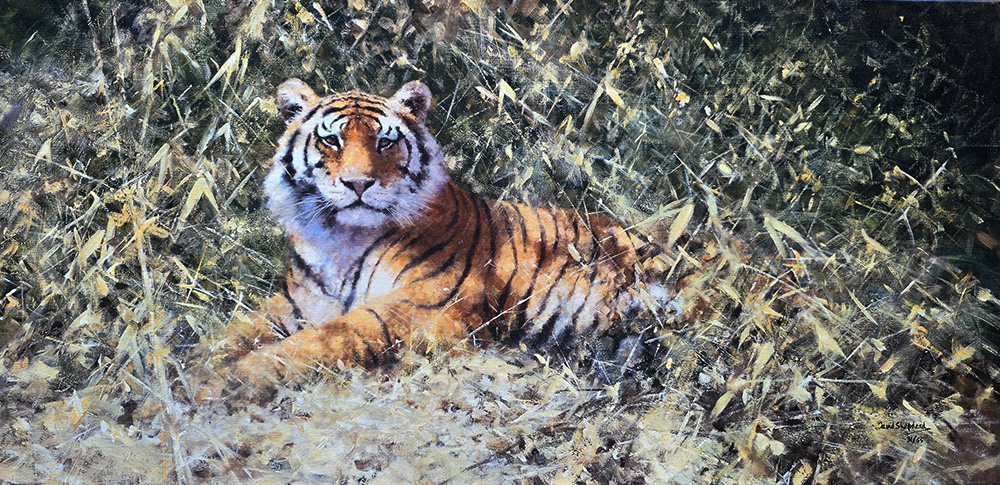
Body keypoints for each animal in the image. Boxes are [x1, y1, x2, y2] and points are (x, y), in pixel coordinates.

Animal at [226, 79, 682, 381]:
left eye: (385, 143)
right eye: (332, 141)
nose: (358, 183)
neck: (341, 239)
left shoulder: (426, 303)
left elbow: (331, 337)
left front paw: (243, 377)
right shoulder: (296, 303)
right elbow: (238, 331)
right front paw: (215, 366)